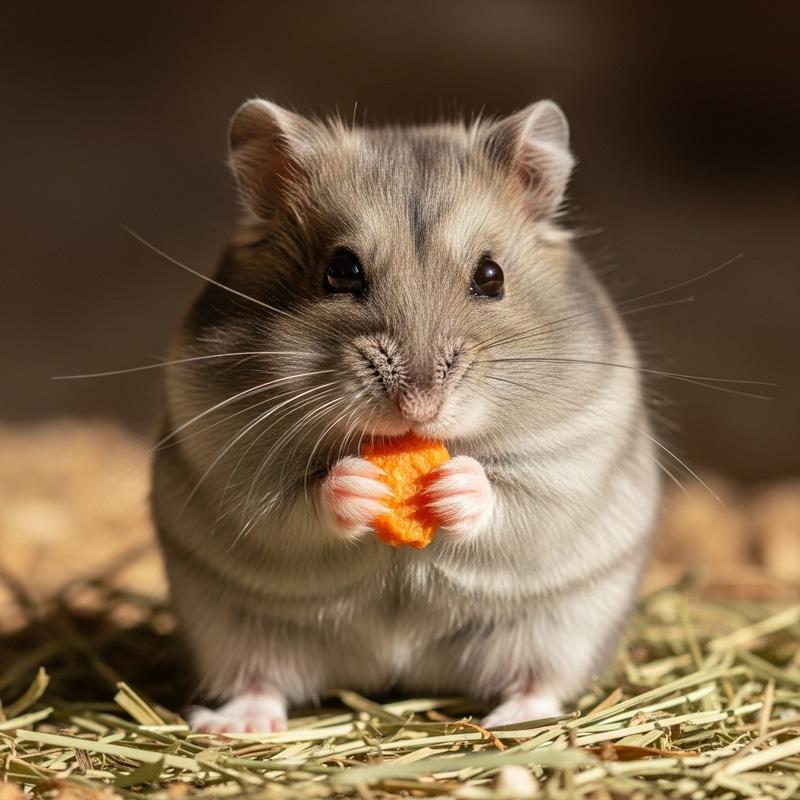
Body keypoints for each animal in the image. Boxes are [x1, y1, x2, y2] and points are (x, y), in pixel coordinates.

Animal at [151, 98, 662, 733]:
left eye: (491, 276)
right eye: (342, 271)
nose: (419, 407)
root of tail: (396, 669)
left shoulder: (570, 460)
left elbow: (510, 495)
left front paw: (450, 486)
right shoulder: (233, 461)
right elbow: (295, 499)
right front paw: (361, 484)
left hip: (560, 629)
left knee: (540, 681)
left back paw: (514, 720)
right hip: (235, 630)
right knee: (260, 680)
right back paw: (236, 724)